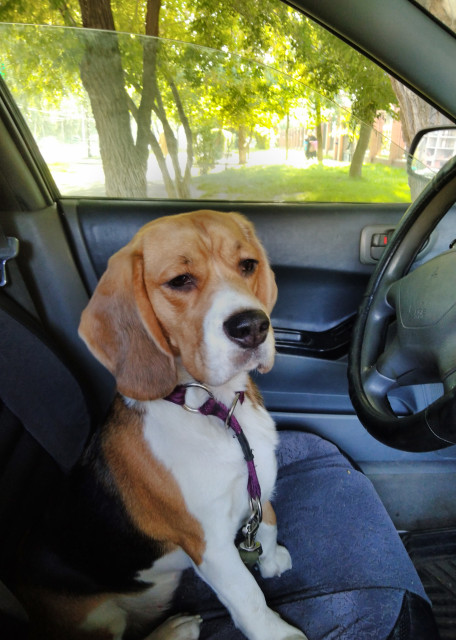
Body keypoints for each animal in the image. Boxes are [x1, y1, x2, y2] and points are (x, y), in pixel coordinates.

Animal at [18, 210, 307, 640]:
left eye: (247, 265)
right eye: (180, 280)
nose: (254, 326)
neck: (215, 411)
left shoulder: (259, 486)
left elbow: (267, 523)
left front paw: (270, 560)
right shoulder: (210, 545)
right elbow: (249, 597)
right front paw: (278, 633)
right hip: (99, 617)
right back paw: (176, 628)